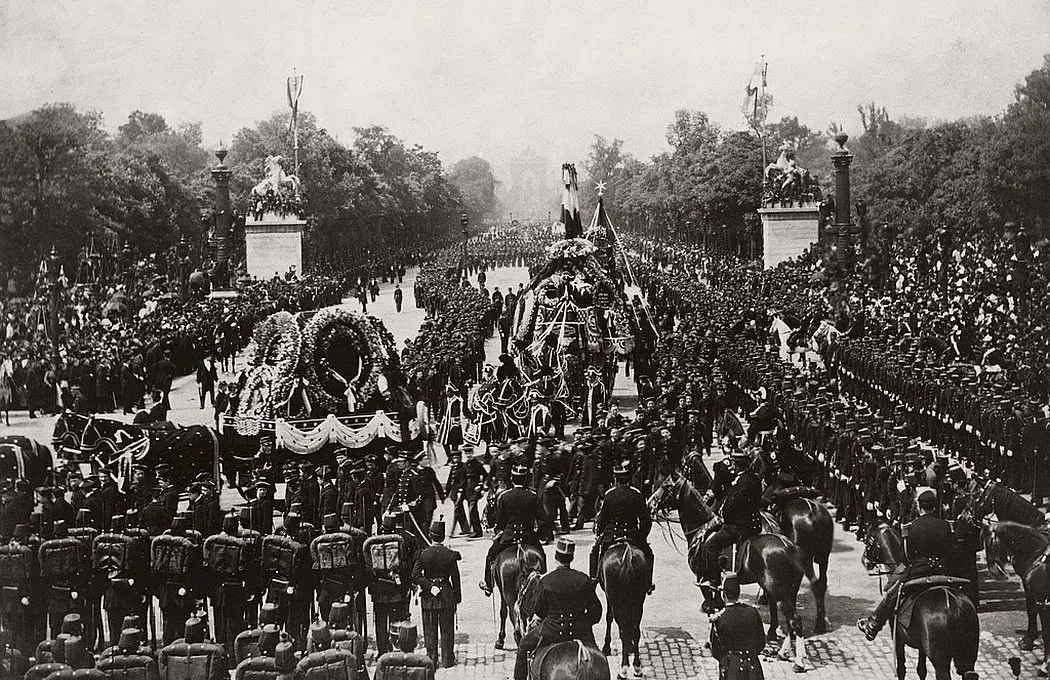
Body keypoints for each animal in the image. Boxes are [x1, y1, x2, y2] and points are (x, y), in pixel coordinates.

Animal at [600, 537, 646, 675]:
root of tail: (627, 554)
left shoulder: (609, 597)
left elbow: (609, 617)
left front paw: (606, 646)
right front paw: (630, 647)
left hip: (616, 601)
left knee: (623, 629)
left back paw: (624, 668)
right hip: (638, 602)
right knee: (636, 631)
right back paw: (636, 666)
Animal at [646, 472, 810, 667]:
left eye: (666, 486)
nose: (649, 503)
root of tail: (789, 546)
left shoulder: (704, 581)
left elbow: (711, 609)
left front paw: (710, 641)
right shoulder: (717, 585)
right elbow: (718, 608)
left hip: (780, 592)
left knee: (795, 620)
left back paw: (798, 661)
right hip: (788, 591)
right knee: (790, 621)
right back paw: (783, 652)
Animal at [865, 522, 978, 675]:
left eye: (868, 539)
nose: (865, 560)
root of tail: (955, 607)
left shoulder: (897, 637)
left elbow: (901, 668)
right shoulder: (921, 646)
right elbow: (921, 669)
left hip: (941, 661)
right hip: (968, 657)